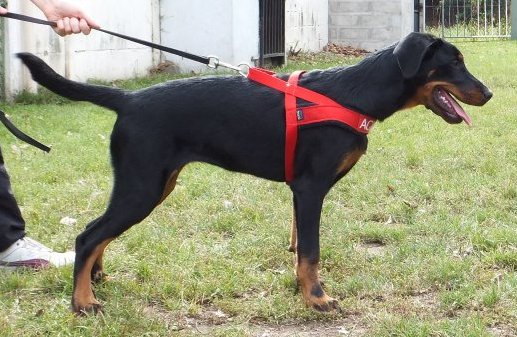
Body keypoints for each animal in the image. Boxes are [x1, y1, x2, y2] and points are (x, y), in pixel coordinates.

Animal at [17, 32, 492, 312]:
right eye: (454, 62)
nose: (488, 93)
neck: (355, 93)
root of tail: (127, 100)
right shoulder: (310, 188)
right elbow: (311, 251)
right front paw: (317, 299)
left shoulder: (300, 193)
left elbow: (300, 248)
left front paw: (302, 290)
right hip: (143, 186)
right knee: (88, 234)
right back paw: (83, 302)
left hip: (154, 184)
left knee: (100, 233)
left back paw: (96, 279)